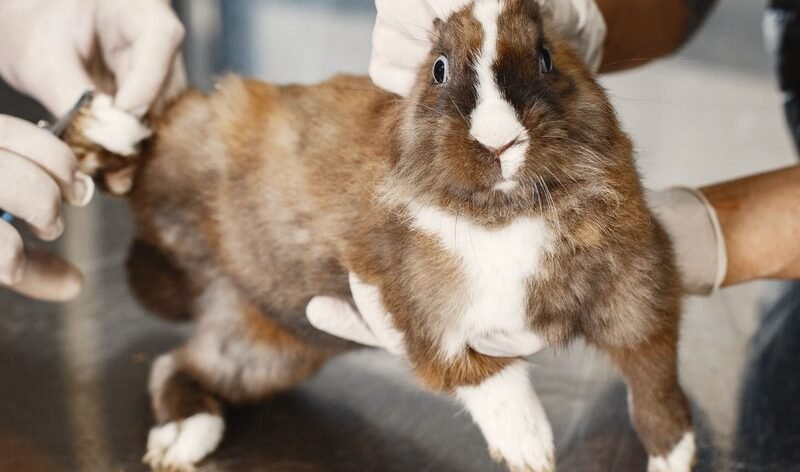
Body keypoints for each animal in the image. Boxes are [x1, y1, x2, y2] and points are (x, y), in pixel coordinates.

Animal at [66, 0, 695, 471]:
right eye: (438, 68)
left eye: (545, 57)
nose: (500, 142)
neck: (506, 214)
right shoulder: (419, 312)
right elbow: (484, 375)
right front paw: (530, 447)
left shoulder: (639, 289)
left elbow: (652, 375)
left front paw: (675, 455)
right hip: (187, 153)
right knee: (142, 154)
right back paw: (106, 124)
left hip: (270, 347)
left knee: (176, 365)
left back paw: (183, 439)